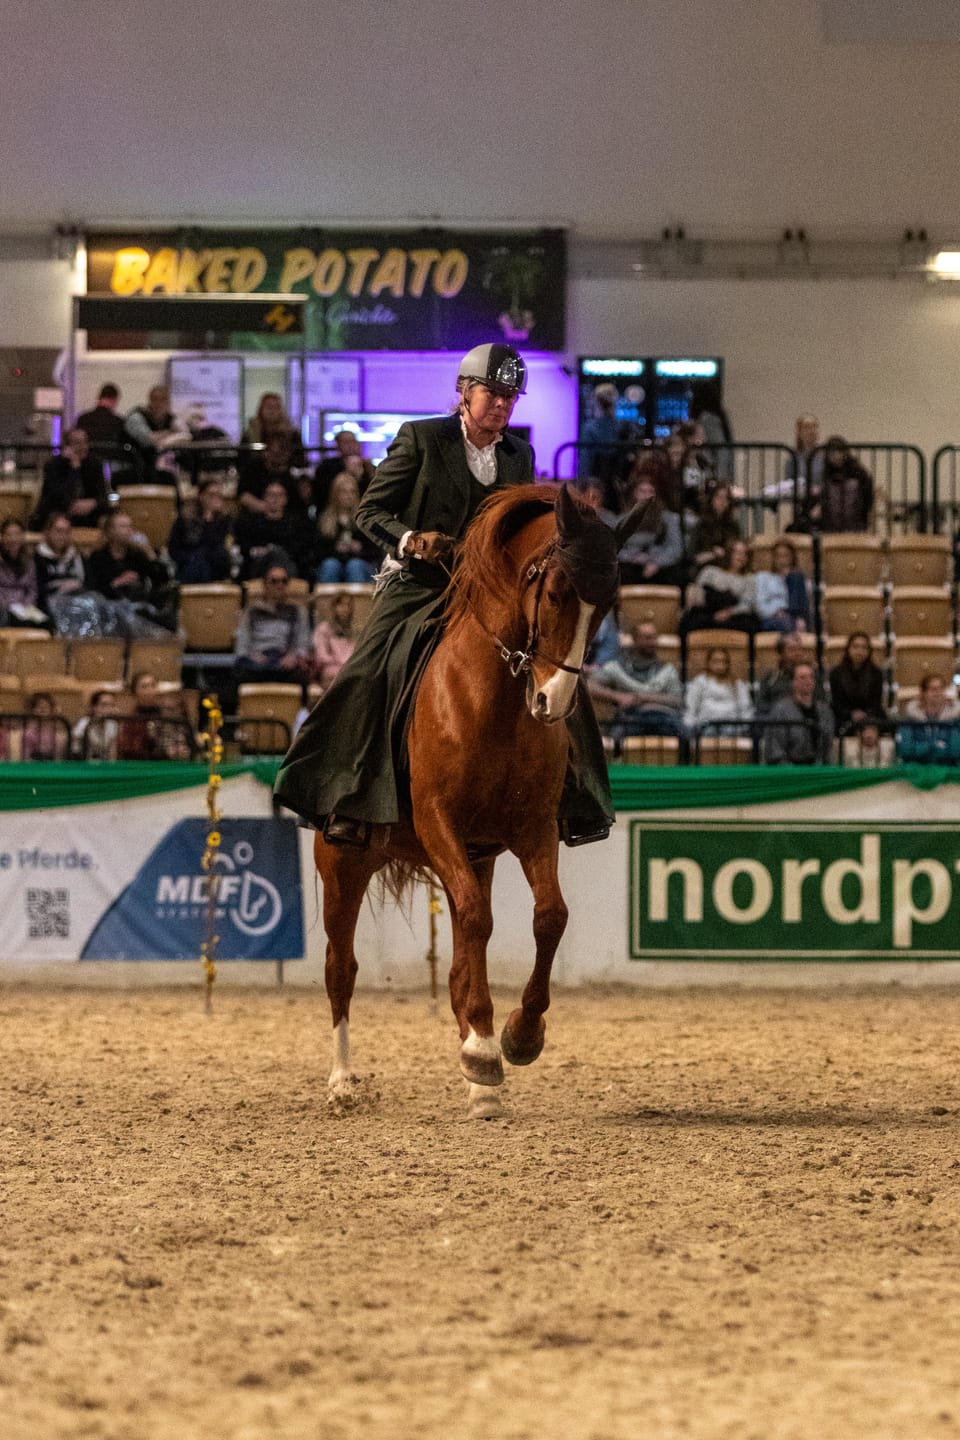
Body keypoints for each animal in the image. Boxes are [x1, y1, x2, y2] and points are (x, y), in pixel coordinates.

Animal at [314, 483, 643, 1118]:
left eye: (609, 604)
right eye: (557, 592)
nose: (553, 702)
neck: (494, 700)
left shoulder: (531, 829)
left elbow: (548, 917)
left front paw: (516, 1039)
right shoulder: (437, 821)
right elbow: (474, 919)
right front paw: (488, 1050)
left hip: (477, 858)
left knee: (463, 962)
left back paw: (480, 1078)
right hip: (343, 865)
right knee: (342, 967)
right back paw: (341, 1082)